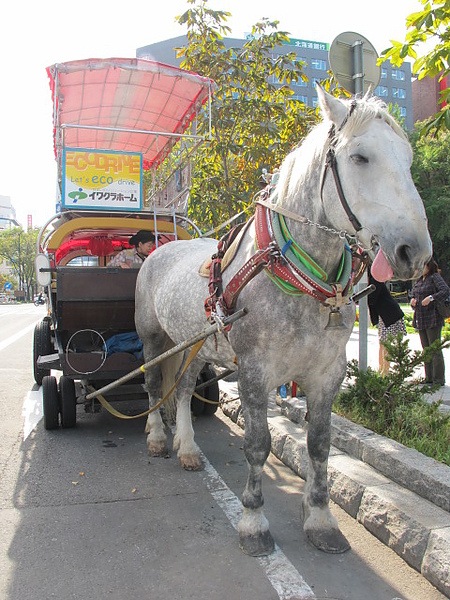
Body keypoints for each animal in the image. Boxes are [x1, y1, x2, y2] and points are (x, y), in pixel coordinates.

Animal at [134, 88, 432, 556]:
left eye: (407, 158)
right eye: (360, 157)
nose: (414, 252)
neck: (296, 272)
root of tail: (161, 248)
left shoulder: (327, 374)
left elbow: (320, 445)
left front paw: (321, 518)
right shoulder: (256, 372)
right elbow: (259, 446)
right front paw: (254, 522)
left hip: (195, 343)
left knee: (181, 389)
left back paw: (187, 446)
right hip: (152, 337)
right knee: (151, 383)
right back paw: (158, 438)